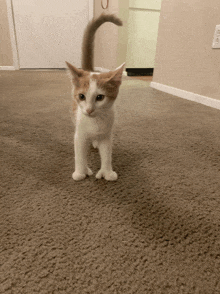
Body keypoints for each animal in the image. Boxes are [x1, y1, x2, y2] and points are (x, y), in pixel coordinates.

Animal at [66, 14, 124, 181]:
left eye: (100, 97)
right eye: (81, 96)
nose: (89, 110)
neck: (94, 123)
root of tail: (89, 70)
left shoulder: (106, 135)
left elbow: (106, 153)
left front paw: (107, 172)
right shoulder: (79, 134)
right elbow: (79, 154)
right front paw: (81, 172)